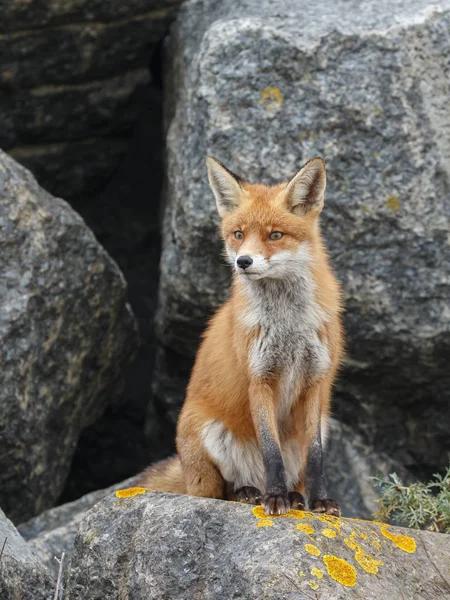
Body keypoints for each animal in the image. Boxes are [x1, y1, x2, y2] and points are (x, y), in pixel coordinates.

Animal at [141, 156, 344, 516]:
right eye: (238, 234)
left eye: (275, 235)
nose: (243, 261)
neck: (288, 325)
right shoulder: (259, 378)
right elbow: (270, 450)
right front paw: (274, 498)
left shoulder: (315, 382)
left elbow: (315, 457)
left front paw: (319, 500)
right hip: (207, 434)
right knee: (219, 491)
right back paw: (251, 493)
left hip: (322, 421)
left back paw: (294, 496)